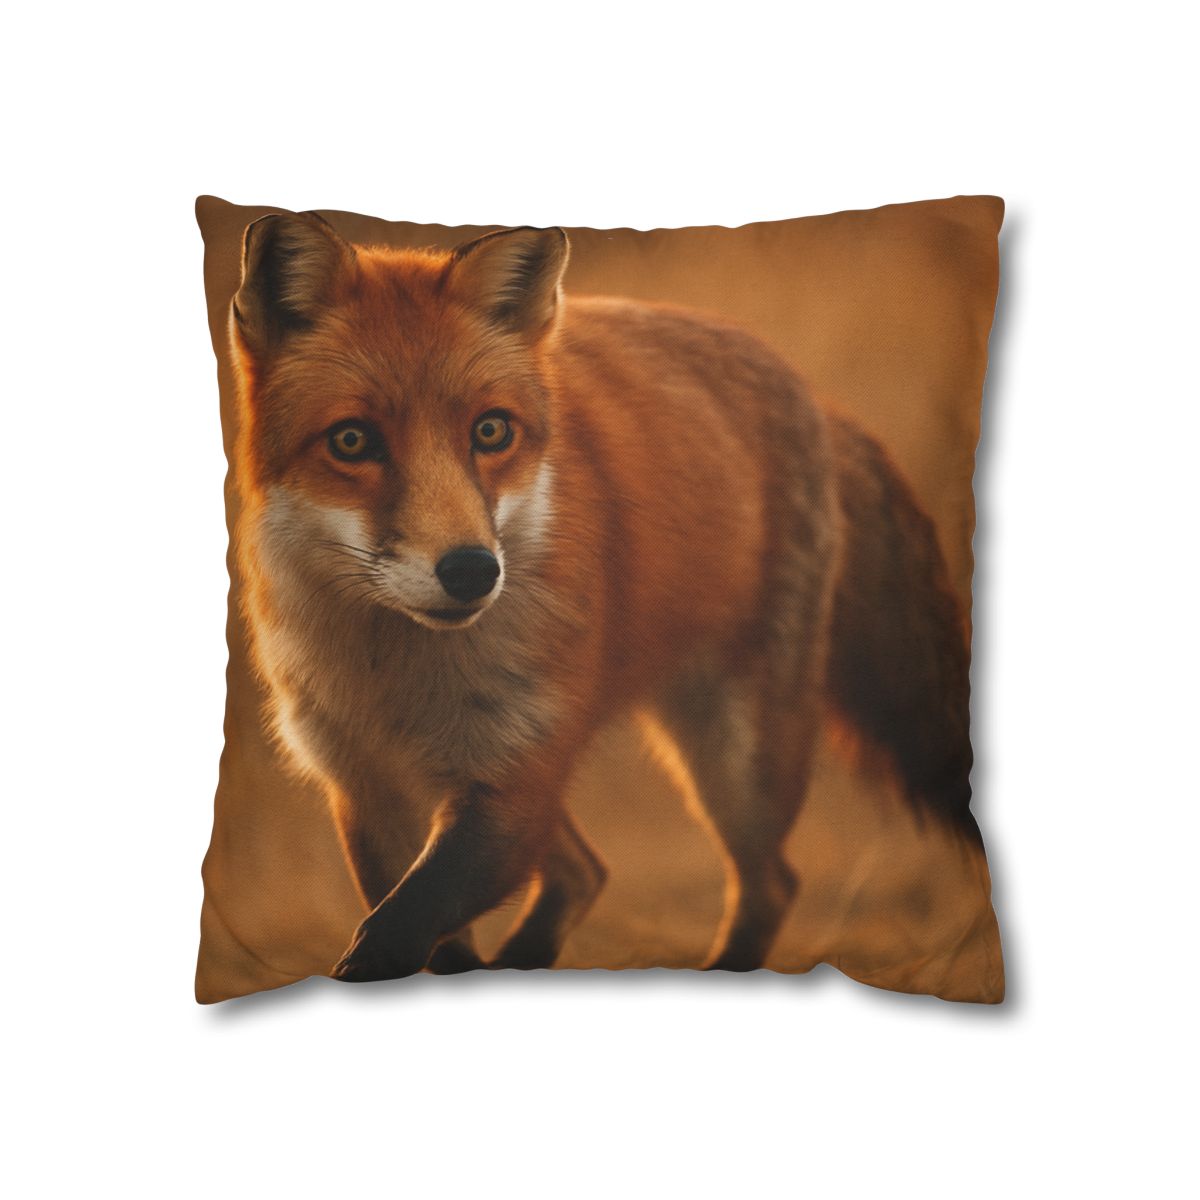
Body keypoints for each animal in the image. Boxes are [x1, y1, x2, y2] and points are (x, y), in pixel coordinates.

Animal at [229, 211, 978, 982]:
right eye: (352, 441)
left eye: (490, 430)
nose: (472, 571)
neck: (401, 678)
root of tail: (814, 396)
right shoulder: (367, 791)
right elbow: (421, 939)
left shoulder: (515, 779)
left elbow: (398, 928)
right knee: (586, 872)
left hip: (734, 762)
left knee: (766, 881)